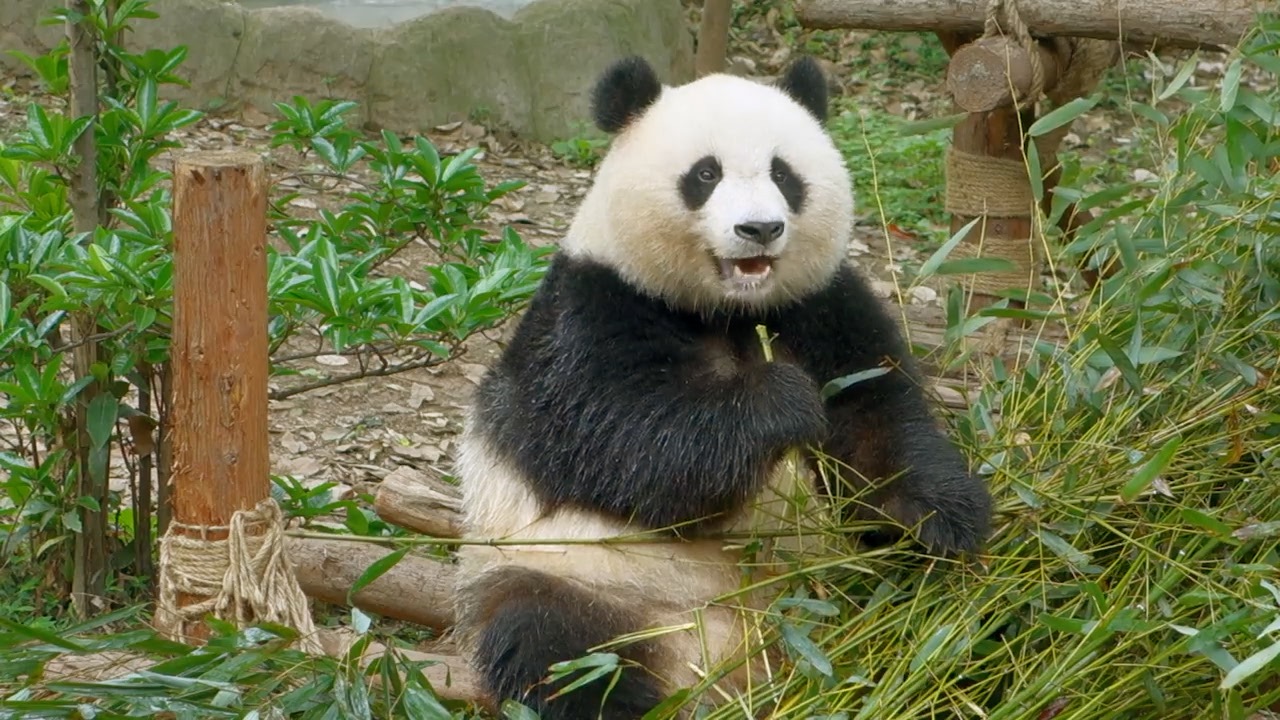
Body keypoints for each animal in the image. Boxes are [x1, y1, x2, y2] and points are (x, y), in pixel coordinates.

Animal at [450, 55, 993, 719]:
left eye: (784, 174)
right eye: (705, 174)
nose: (759, 228)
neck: (730, 310)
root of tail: (734, 669)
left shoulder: (819, 306)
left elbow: (877, 420)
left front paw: (940, 523)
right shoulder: (592, 309)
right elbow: (621, 442)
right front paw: (780, 402)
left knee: (962, 626)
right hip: (568, 575)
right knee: (553, 647)